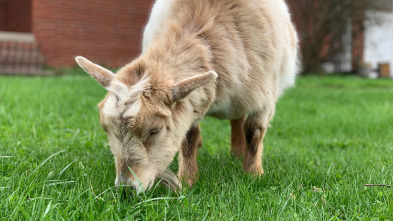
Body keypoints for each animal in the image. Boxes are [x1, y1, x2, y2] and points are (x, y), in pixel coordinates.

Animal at [75, 0, 298, 192]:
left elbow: (254, 134)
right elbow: (188, 138)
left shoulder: (265, 100)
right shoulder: (190, 104)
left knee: (239, 120)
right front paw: (189, 179)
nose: (126, 188)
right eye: (106, 129)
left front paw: (254, 175)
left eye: (155, 130)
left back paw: (237, 153)